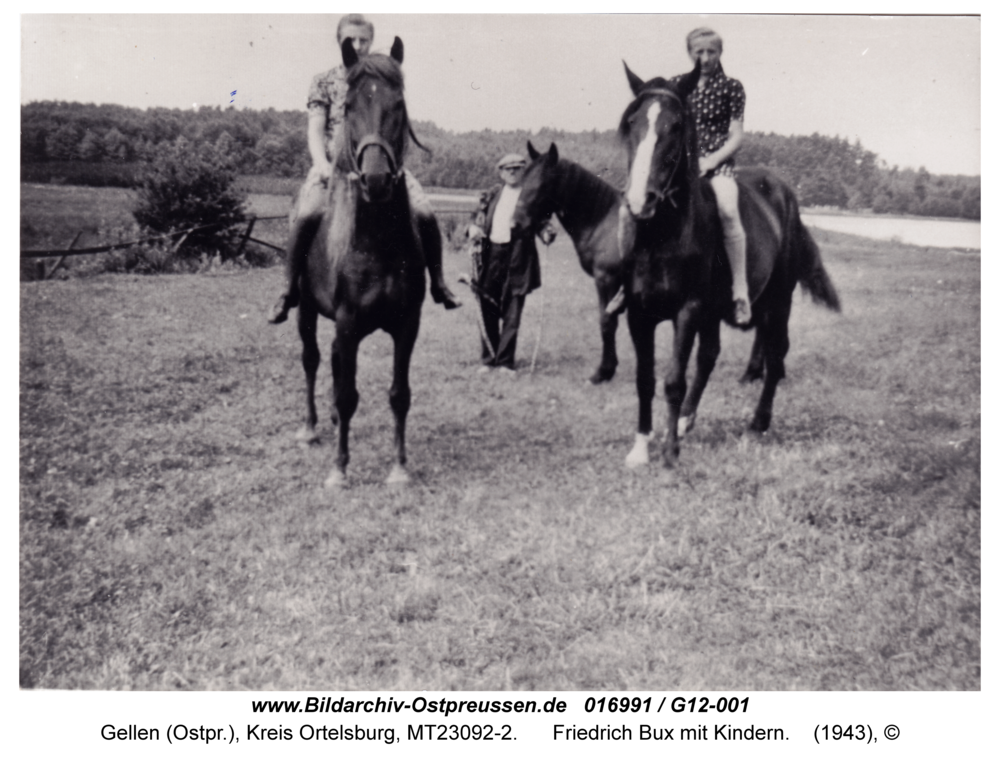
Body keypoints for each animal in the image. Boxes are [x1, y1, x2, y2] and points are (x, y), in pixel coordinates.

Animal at [296, 37, 434, 486]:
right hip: (305, 309)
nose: (376, 180)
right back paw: (310, 428)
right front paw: (339, 469)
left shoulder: (407, 325)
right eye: (350, 106)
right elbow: (346, 393)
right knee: (311, 360)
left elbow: (399, 394)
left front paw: (399, 467)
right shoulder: (348, 321)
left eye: (399, 104)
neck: (377, 247)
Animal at [516, 140, 624, 382]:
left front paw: (603, 371)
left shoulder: (607, 280)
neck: (605, 221)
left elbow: (607, 322)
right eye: (523, 178)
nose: (516, 223)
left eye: (543, 183)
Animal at [616, 62, 844, 470]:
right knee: (711, 356)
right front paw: (642, 448)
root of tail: (785, 193)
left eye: (676, 126)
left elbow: (673, 379)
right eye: (632, 122)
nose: (641, 201)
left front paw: (670, 452)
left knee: (775, 354)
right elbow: (645, 379)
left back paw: (757, 423)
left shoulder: (688, 310)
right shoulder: (640, 313)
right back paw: (686, 422)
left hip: (776, 302)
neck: (662, 238)